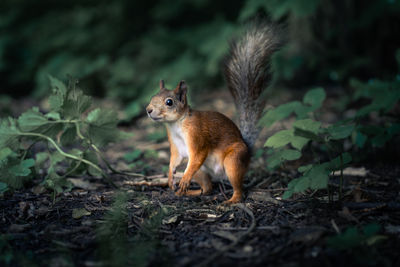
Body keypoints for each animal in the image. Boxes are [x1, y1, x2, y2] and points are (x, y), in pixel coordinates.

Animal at [145, 23, 280, 205]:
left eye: (169, 102)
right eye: (153, 97)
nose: (148, 110)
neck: (177, 125)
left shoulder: (197, 136)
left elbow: (198, 155)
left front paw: (183, 178)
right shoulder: (177, 147)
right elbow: (174, 160)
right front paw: (170, 178)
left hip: (233, 161)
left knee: (238, 189)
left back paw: (230, 200)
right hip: (202, 171)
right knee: (207, 188)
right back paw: (188, 192)